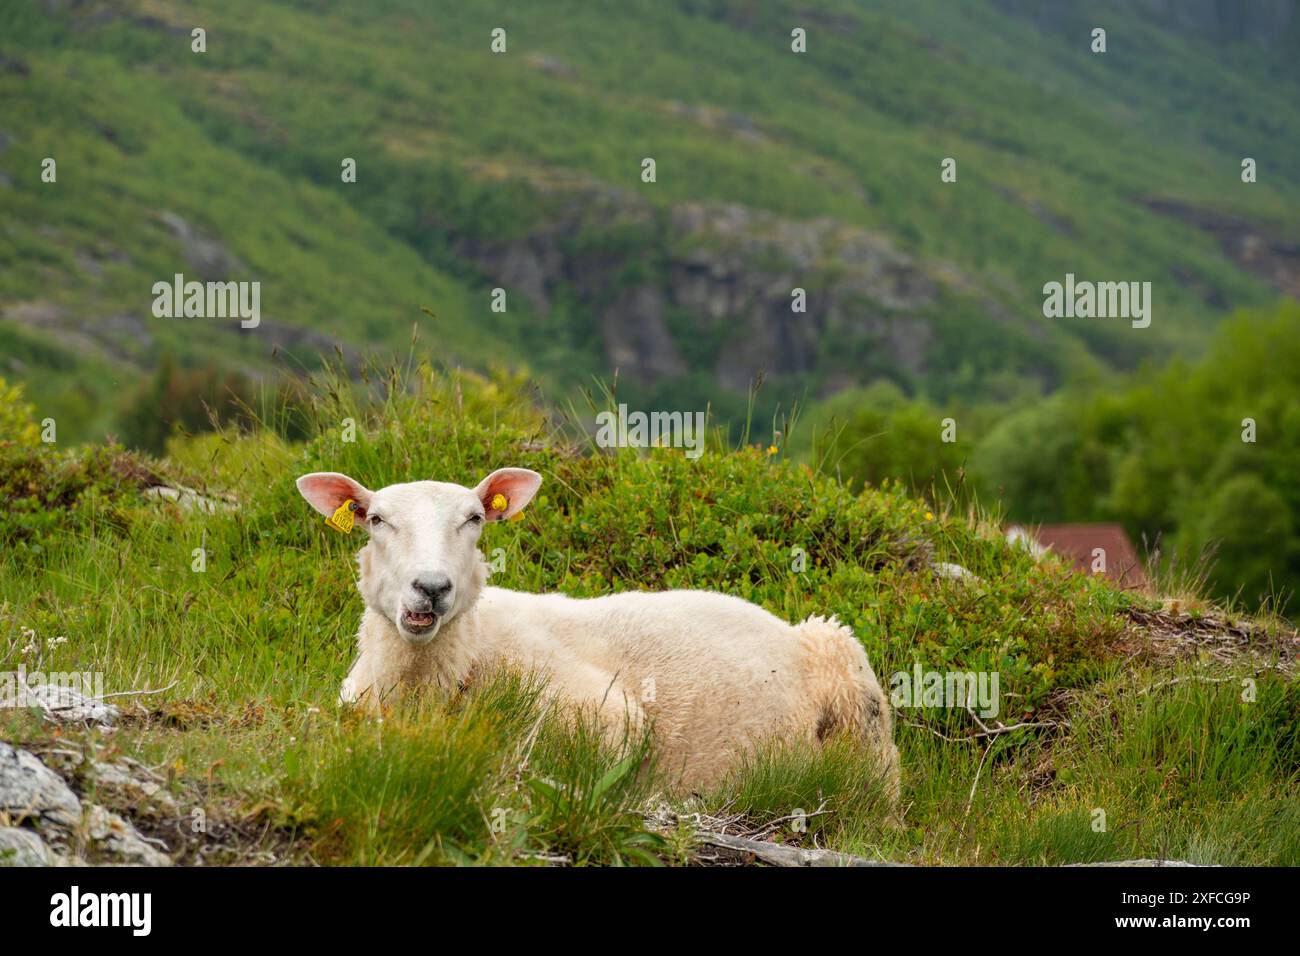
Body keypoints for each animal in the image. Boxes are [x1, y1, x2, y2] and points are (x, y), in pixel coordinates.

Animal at [297, 468, 899, 796]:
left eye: (475, 519)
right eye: (376, 520)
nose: (431, 587)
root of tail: (785, 626)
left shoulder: (609, 718)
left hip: (853, 689)